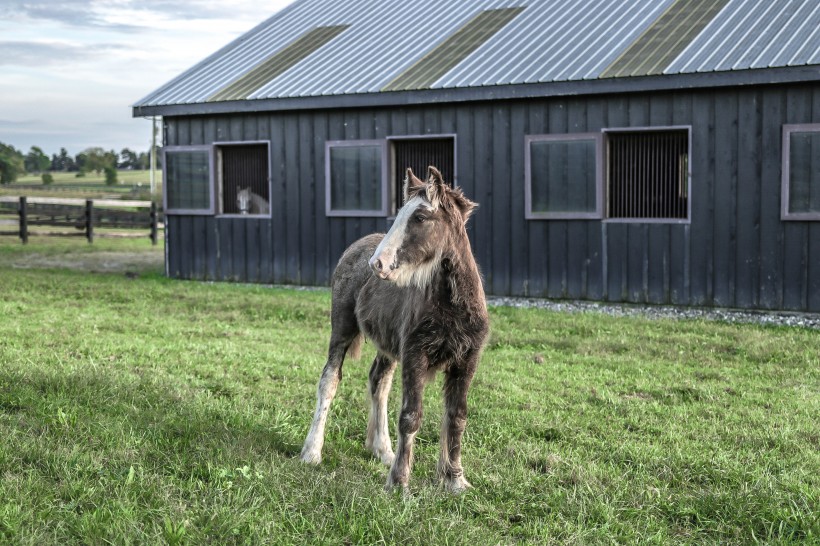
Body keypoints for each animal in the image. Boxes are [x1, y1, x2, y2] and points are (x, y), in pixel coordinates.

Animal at [304, 165, 490, 488]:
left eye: (420, 217)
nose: (377, 263)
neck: (452, 308)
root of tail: (357, 245)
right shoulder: (415, 355)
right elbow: (410, 416)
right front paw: (399, 482)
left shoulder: (467, 360)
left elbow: (457, 417)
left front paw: (454, 480)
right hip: (342, 328)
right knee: (329, 381)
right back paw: (312, 452)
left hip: (388, 345)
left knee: (379, 381)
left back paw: (382, 450)